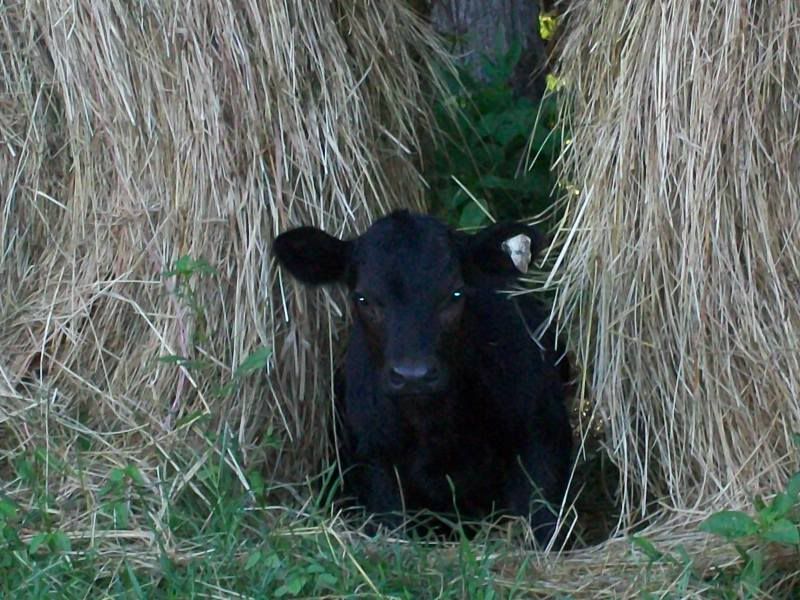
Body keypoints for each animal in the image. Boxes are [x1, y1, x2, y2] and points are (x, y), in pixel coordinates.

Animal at [273, 211, 572, 543]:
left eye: (455, 293)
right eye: (363, 298)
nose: (412, 375)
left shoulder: (540, 434)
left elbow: (541, 520)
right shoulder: (372, 458)